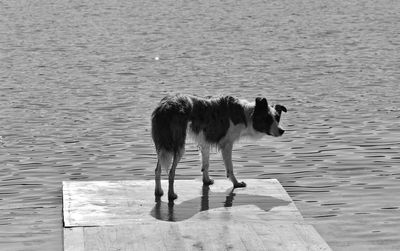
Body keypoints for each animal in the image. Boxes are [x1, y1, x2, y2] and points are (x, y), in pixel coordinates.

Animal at [151, 94, 288, 200]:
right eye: (268, 119)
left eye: (277, 118)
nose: (282, 131)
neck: (246, 115)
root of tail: (165, 105)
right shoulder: (227, 145)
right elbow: (230, 168)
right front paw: (236, 183)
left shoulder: (205, 143)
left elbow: (205, 165)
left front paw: (206, 181)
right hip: (178, 146)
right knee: (171, 172)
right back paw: (171, 195)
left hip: (162, 145)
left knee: (157, 170)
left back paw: (158, 191)